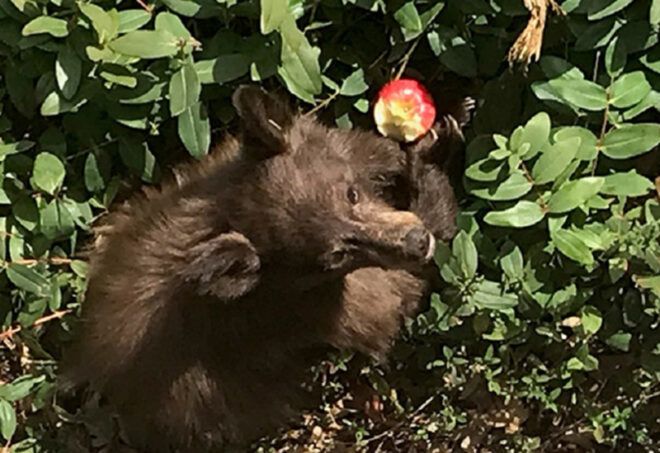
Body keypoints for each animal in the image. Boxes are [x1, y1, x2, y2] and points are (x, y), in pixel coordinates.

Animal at [60, 85, 472, 452]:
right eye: (334, 257)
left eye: (351, 193)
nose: (416, 242)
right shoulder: (324, 306)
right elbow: (395, 298)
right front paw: (430, 171)